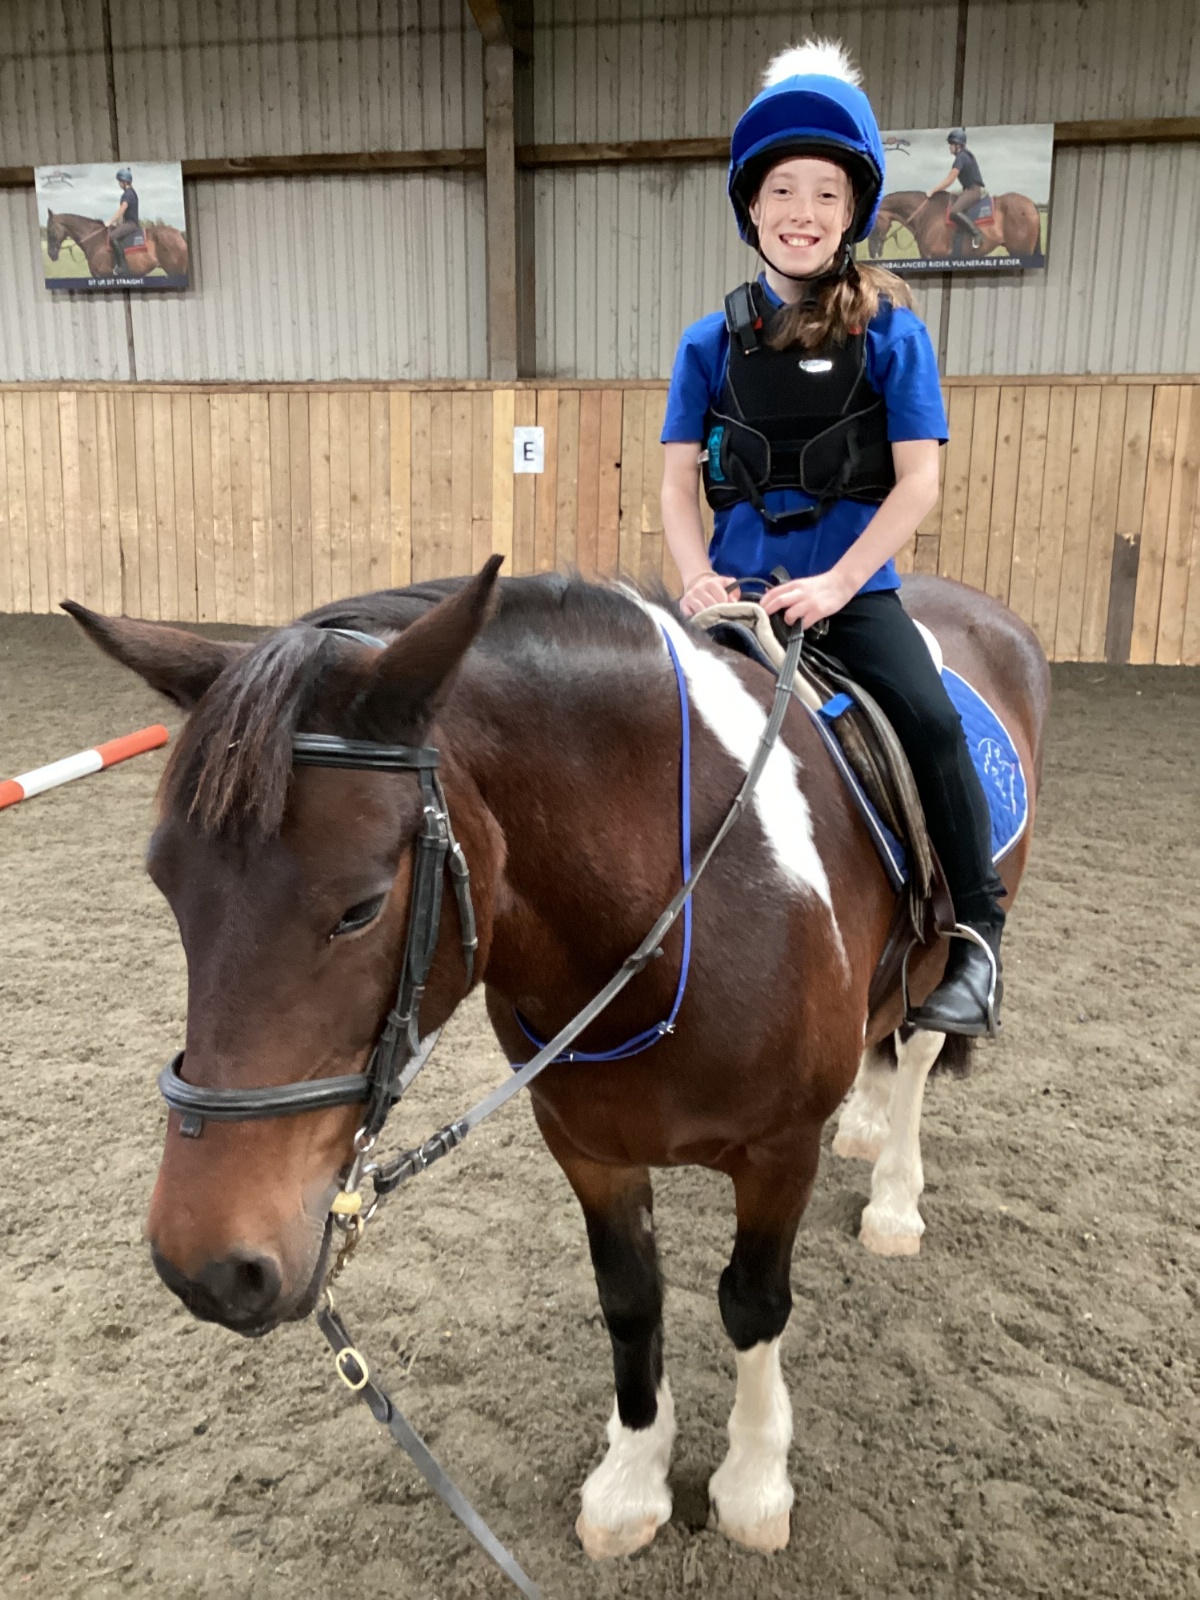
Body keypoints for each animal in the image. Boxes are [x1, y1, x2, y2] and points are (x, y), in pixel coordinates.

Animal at [65, 565, 1049, 1561]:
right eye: (166, 884)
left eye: (360, 907)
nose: (205, 1266)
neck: (679, 910)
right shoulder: (586, 1144)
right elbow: (630, 1298)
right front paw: (631, 1481)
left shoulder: (781, 1149)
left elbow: (753, 1303)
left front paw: (752, 1486)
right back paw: (868, 1125)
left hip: (945, 946)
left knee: (918, 1048)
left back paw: (894, 1194)